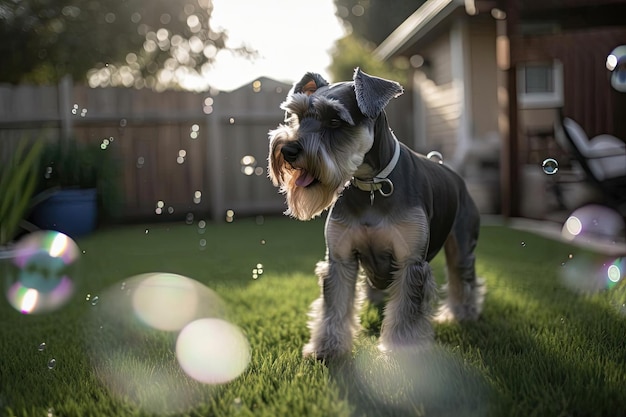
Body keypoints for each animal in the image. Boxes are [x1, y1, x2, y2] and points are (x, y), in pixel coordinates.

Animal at [266, 67, 480, 358]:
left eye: (335, 121)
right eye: (297, 116)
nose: (288, 150)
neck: (371, 186)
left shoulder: (410, 262)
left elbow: (406, 311)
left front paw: (402, 350)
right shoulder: (340, 260)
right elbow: (334, 308)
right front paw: (326, 347)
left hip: (461, 245)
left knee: (463, 279)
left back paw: (462, 314)